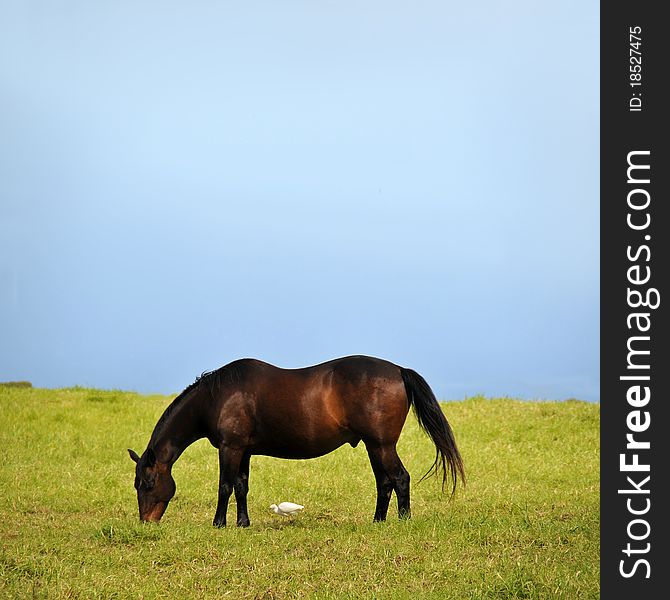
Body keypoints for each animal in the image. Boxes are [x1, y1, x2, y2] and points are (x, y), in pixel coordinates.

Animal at [130, 356, 468, 524]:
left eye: (148, 483)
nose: (146, 520)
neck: (219, 396)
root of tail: (398, 370)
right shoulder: (244, 450)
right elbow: (241, 486)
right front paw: (243, 523)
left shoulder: (230, 448)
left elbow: (225, 486)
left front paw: (219, 523)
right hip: (374, 446)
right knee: (385, 482)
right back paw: (378, 521)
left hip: (382, 445)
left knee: (400, 478)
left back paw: (402, 521)